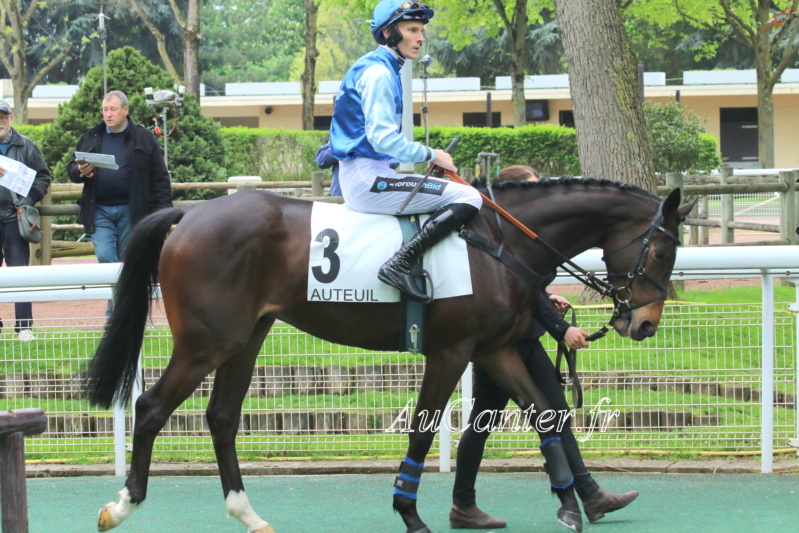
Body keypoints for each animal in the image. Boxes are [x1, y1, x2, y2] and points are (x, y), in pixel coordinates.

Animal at [83, 177, 692, 528]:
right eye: (663, 251)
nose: (644, 323)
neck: (500, 242)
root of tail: (189, 214)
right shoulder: (451, 351)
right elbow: (423, 429)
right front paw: (409, 512)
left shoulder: (495, 349)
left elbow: (545, 414)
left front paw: (575, 502)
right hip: (207, 340)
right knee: (151, 408)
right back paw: (123, 504)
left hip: (246, 337)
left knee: (222, 417)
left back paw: (246, 512)